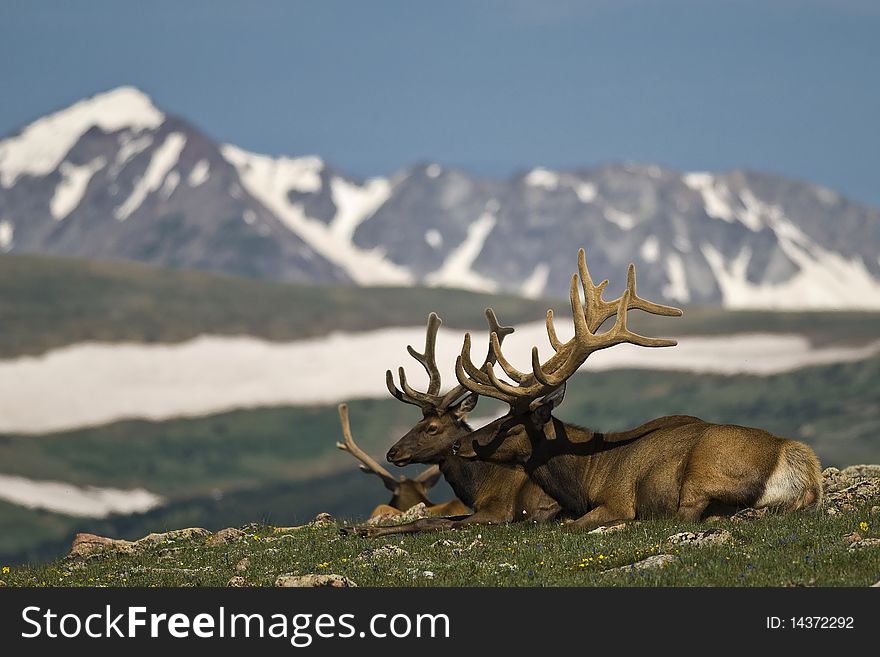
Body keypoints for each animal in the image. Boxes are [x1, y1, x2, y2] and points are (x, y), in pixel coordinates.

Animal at [454, 249, 824, 532]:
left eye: (511, 426)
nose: (460, 444)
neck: (585, 479)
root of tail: (800, 467)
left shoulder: (617, 499)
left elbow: (572, 523)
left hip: (704, 472)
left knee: (686, 515)